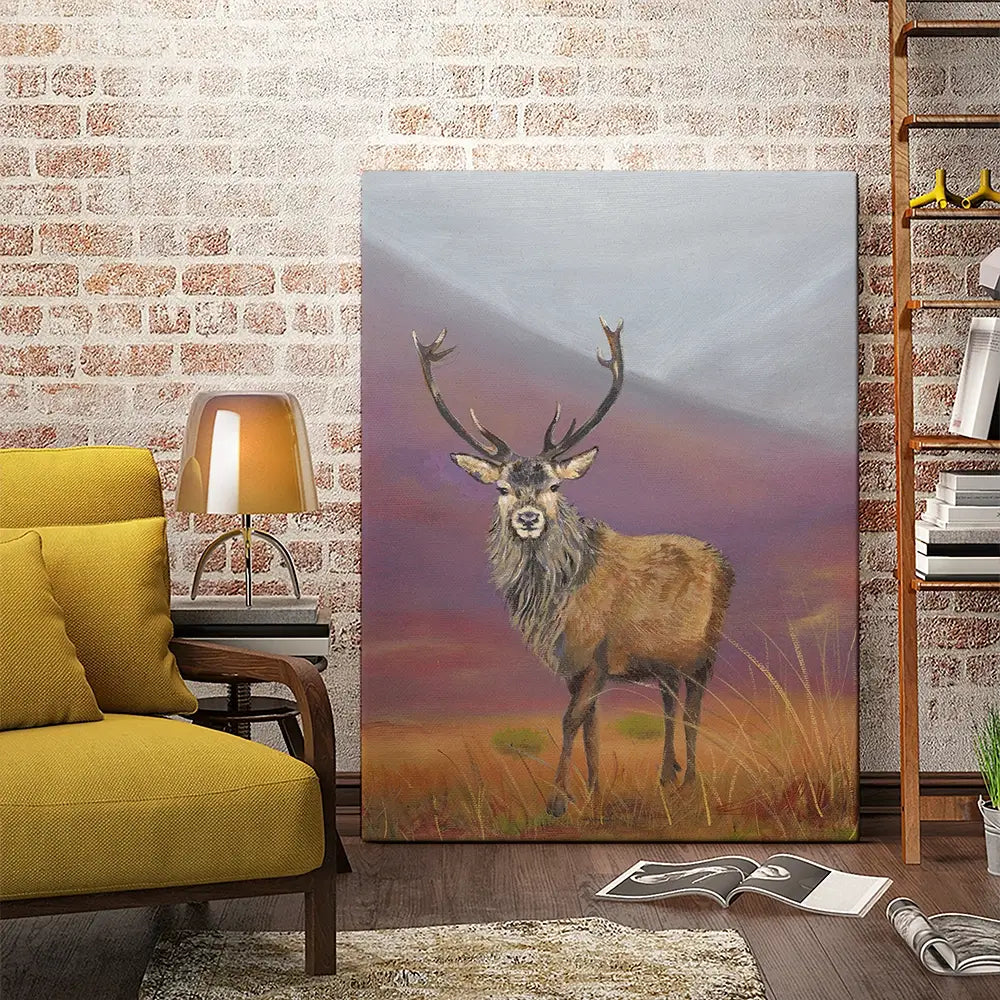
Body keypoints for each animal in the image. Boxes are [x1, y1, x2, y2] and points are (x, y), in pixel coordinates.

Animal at [412, 319, 734, 818]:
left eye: (555, 485)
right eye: (502, 488)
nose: (528, 518)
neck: (557, 603)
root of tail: (722, 561)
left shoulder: (597, 654)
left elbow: (570, 722)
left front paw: (558, 800)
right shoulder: (573, 664)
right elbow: (590, 726)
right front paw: (595, 791)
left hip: (706, 648)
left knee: (695, 708)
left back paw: (690, 783)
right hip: (663, 659)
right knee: (668, 700)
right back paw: (666, 776)